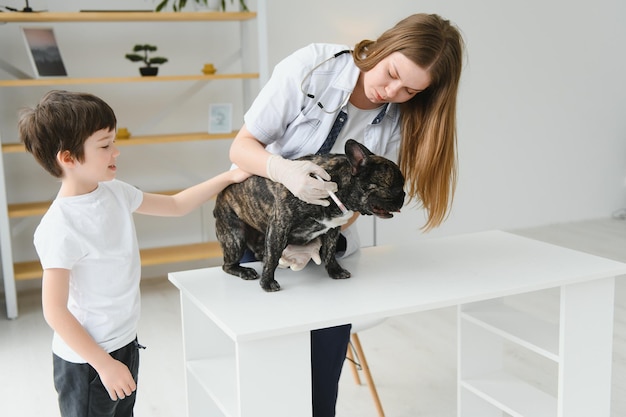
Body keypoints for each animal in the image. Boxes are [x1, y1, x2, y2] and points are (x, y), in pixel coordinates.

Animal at [212, 138, 404, 290]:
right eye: (395, 187)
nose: (404, 195)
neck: (336, 186)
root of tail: (221, 195)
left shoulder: (333, 230)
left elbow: (329, 252)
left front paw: (335, 270)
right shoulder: (279, 226)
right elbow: (273, 256)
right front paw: (267, 282)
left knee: (261, 253)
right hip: (235, 237)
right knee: (228, 264)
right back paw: (244, 271)